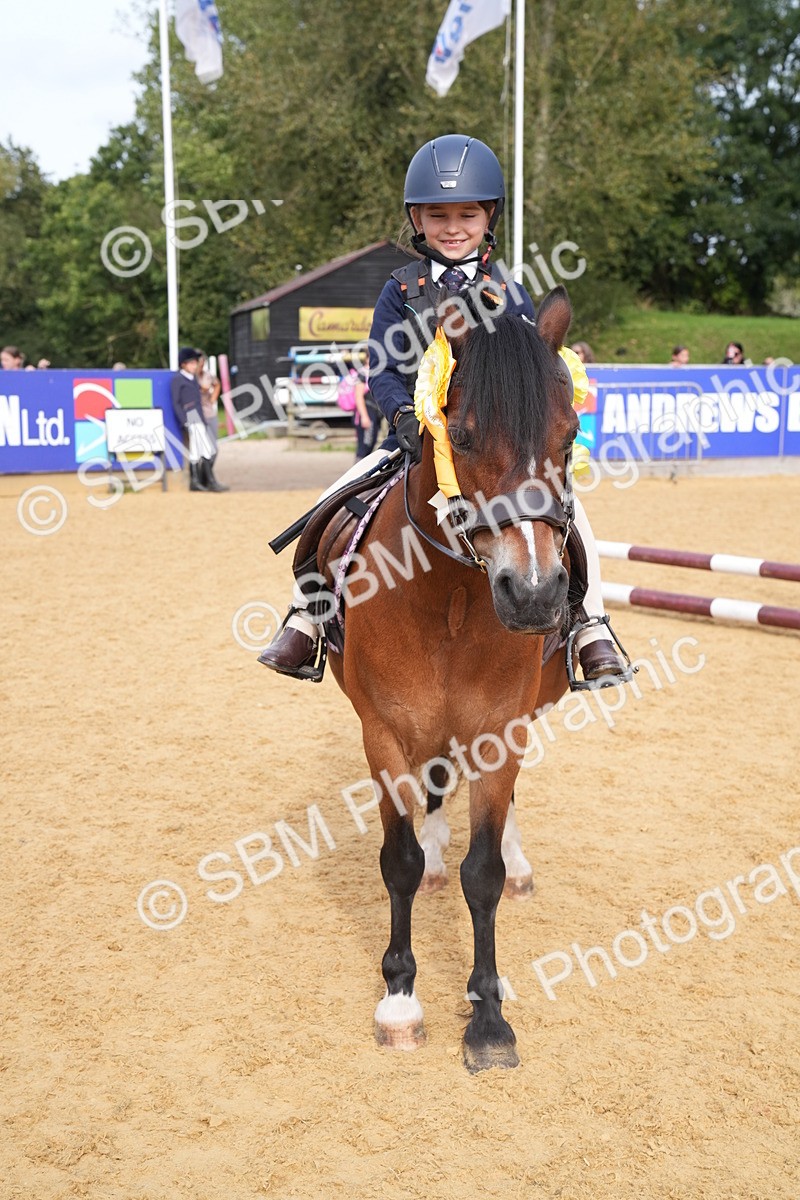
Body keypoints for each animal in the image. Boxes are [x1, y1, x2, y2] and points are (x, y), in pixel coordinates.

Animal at [322, 285, 580, 1072]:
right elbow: (399, 860)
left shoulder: (501, 731)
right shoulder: (382, 731)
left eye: (571, 436)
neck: (452, 599)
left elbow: (484, 872)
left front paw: (489, 1014)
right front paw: (401, 999)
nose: (534, 594)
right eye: (459, 437)